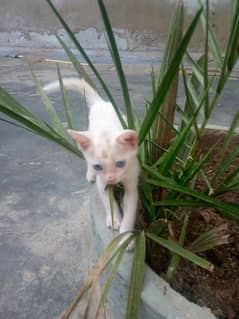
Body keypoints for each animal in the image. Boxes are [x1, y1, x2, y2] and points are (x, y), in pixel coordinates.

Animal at [44, 79, 140, 249]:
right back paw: (90, 174)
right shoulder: (102, 183)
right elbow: (106, 199)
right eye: (98, 166)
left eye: (121, 163)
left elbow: (130, 208)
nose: (111, 178)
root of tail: (101, 103)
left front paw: (126, 237)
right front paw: (114, 218)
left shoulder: (132, 178)